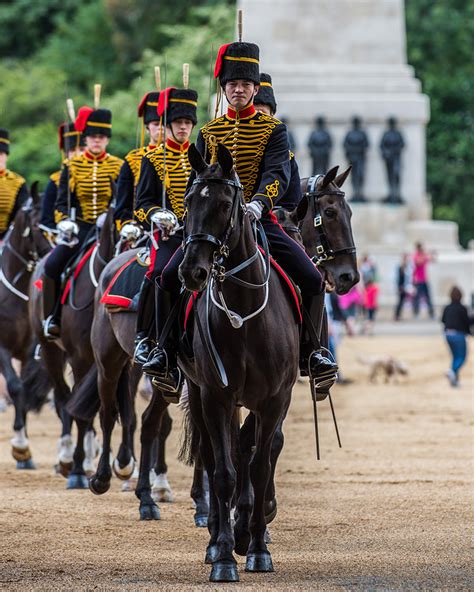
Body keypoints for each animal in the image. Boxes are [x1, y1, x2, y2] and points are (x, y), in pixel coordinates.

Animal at [30, 206, 135, 488]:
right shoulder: (81, 359)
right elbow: (81, 412)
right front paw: (78, 467)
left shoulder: (125, 362)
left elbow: (126, 408)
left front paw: (124, 462)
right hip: (51, 352)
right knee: (64, 398)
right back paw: (69, 457)